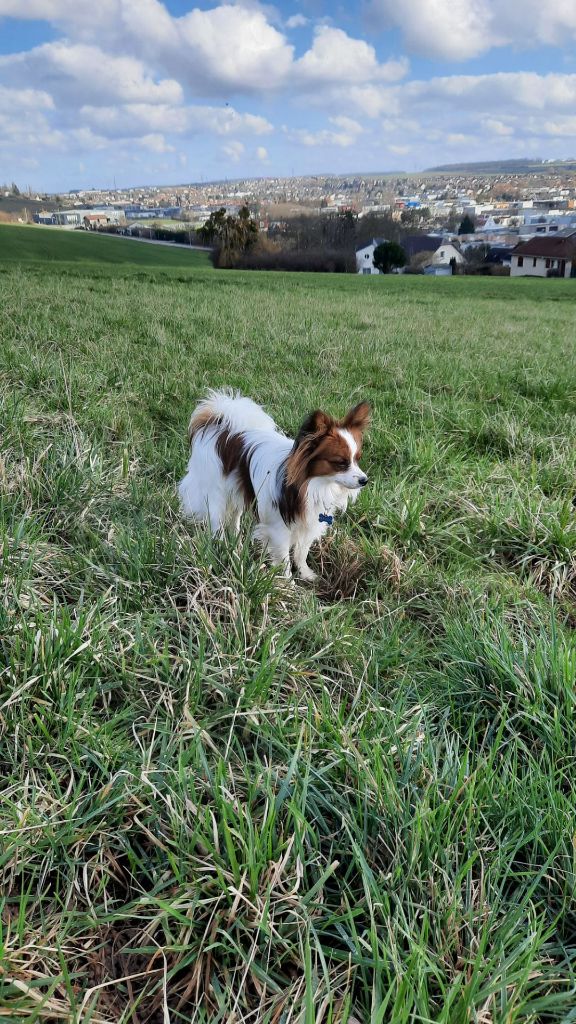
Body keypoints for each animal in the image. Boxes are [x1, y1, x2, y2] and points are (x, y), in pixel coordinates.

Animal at [177, 391, 368, 581]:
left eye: (357, 459)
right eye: (341, 463)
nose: (364, 480)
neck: (314, 484)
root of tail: (218, 422)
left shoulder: (310, 522)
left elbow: (302, 552)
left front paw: (306, 574)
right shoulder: (279, 530)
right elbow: (284, 559)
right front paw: (288, 584)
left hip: (237, 491)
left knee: (234, 519)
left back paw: (236, 547)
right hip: (216, 495)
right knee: (217, 524)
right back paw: (223, 548)